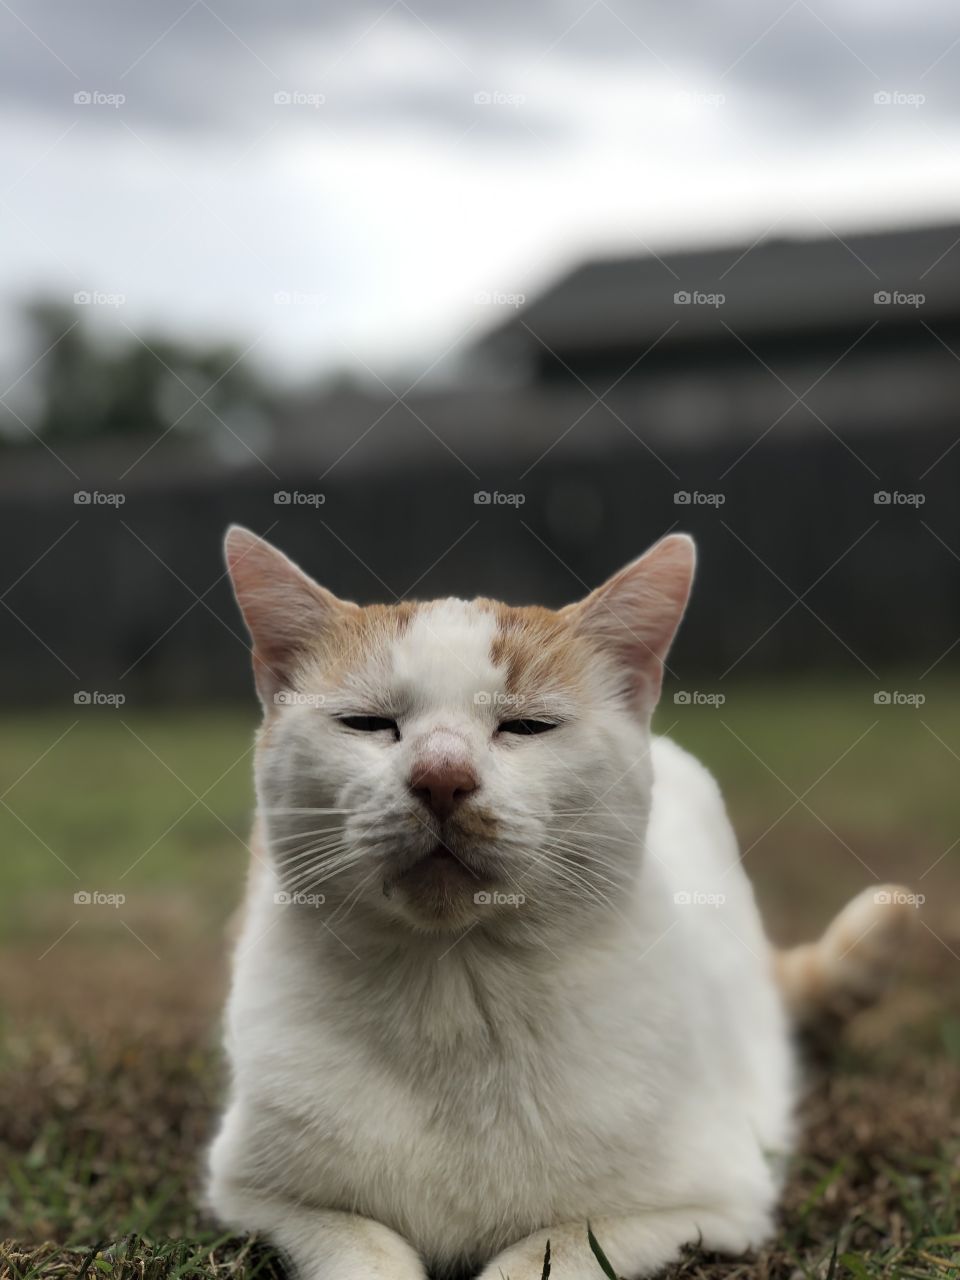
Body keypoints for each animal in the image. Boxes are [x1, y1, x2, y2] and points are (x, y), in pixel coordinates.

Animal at [207, 524, 911, 1280]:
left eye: (527, 726)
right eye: (367, 722)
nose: (441, 777)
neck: (455, 997)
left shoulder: (706, 1208)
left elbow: (546, 1253)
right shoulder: (255, 1198)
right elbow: (365, 1251)